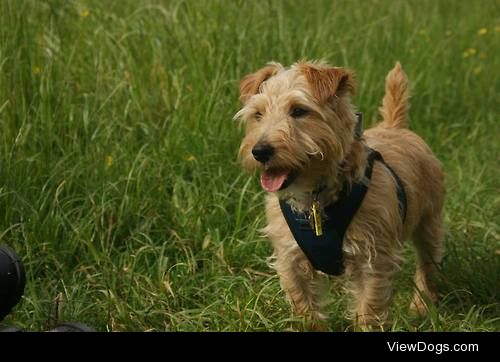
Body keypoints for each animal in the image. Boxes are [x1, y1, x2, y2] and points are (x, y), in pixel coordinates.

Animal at [234, 60, 446, 328]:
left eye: (299, 111)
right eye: (258, 114)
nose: (260, 151)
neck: (315, 198)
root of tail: (393, 126)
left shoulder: (373, 258)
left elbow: (369, 307)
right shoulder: (290, 259)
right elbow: (304, 306)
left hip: (430, 222)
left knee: (427, 264)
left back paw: (420, 305)